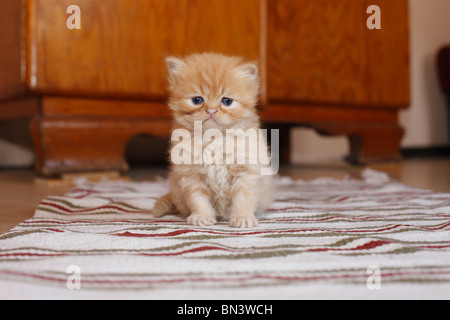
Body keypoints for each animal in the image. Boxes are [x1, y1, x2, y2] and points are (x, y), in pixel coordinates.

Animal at [153, 52, 274, 228]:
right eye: (197, 100)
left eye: (227, 101)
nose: (211, 110)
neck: (213, 140)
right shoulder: (190, 175)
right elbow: (198, 199)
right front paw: (201, 217)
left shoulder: (247, 171)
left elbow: (244, 198)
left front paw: (242, 217)